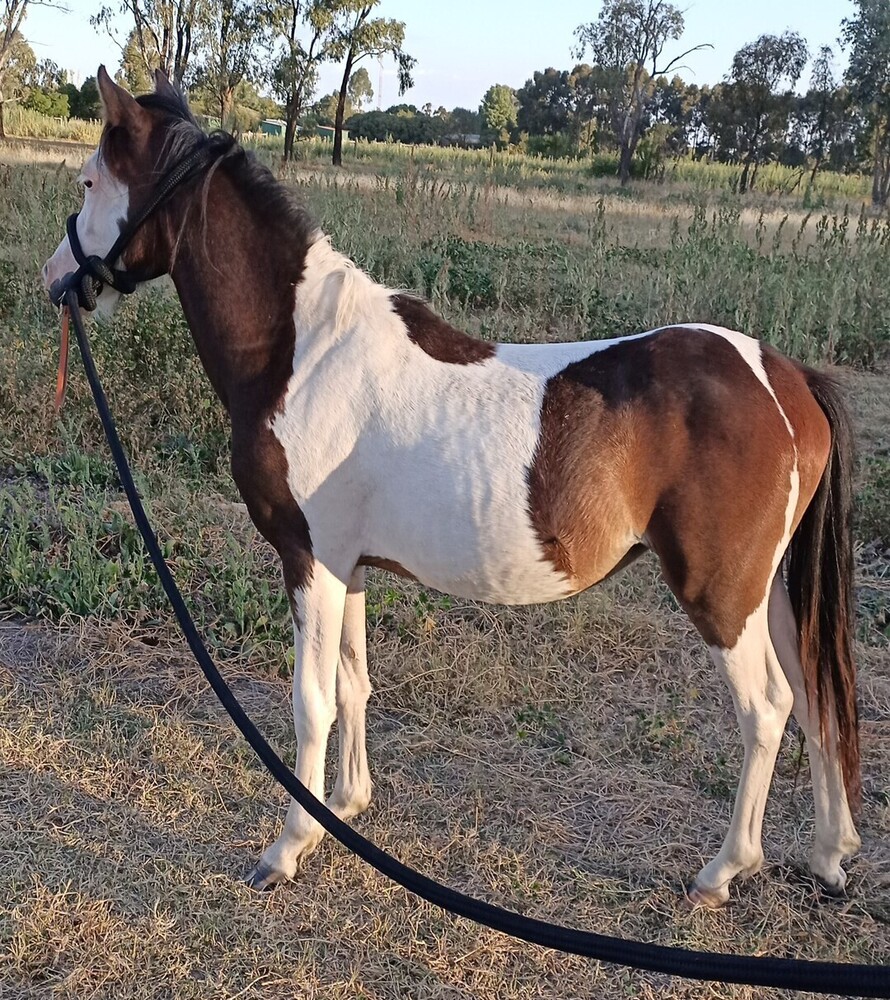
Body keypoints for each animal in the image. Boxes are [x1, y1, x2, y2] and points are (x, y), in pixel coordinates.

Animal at [43, 68, 861, 907]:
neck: (303, 352)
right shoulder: (350, 567)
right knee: (820, 697)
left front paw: (289, 846)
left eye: (88, 181)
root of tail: (785, 377)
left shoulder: (309, 558)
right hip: (774, 592)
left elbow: (311, 703)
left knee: (767, 710)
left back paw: (723, 871)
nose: (54, 281)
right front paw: (346, 807)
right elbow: (354, 684)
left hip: (724, 596)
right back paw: (830, 855)